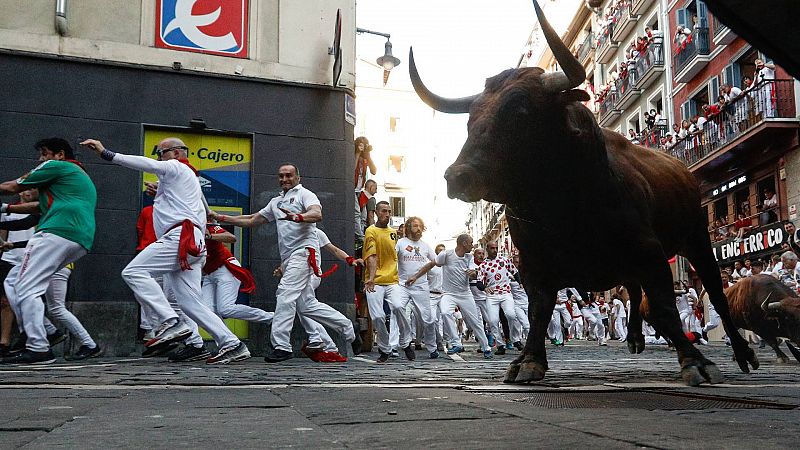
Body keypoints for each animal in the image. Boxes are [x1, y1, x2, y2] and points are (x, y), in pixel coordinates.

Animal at [410, 0, 760, 386]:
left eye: (519, 110)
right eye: (471, 117)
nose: (458, 176)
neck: (560, 208)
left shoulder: (650, 253)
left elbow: (666, 306)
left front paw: (696, 361)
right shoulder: (535, 266)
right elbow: (540, 311)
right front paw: (528, 360)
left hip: (696, 237)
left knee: (715, 293)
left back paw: (741, 353)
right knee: (634, 292)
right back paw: (635, 338)